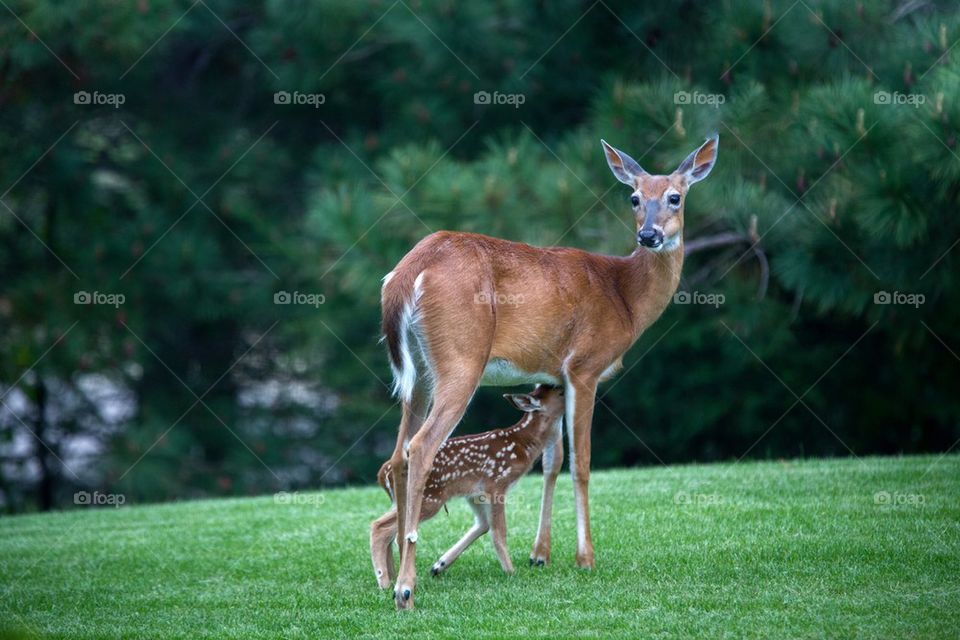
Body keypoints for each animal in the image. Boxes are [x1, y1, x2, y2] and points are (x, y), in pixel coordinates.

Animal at [370, 384, 565, 590]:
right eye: (560, 393)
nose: (566, 388)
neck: (522, 445)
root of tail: (382, 474)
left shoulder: (474, 493)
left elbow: (483, 524)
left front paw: (439, 565)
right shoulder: (496, 482)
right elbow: (498, 531)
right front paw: (511, 572)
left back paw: (393, 577)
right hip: (430, 498)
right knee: (379, 527)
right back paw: (385, 582)